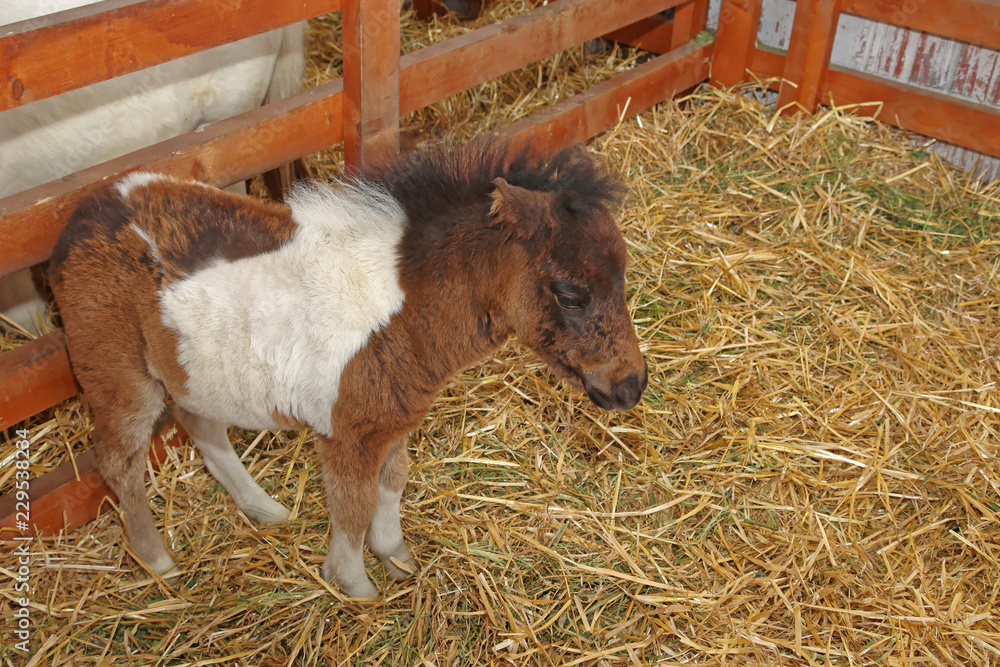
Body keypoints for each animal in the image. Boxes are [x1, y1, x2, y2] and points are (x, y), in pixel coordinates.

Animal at [49, 140, 648, 598]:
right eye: (570, 294)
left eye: (622, 274)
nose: (631, 385)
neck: (409, 307)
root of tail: (82, 215)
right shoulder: (349, 433)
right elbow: (353, 507)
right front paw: (355, 585)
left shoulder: (394, 422)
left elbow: (393, 481)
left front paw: (395, 556)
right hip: (117, 375)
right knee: (119, 459)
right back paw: (157, 561)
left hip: (195, 371)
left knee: (201, 425)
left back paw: (264, 509)